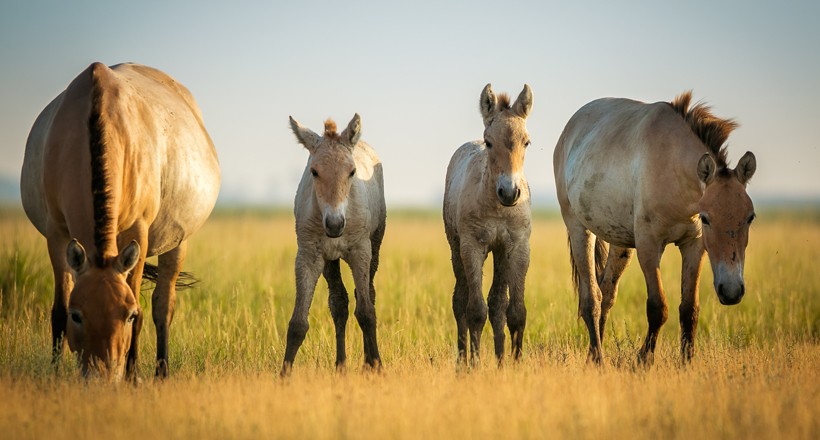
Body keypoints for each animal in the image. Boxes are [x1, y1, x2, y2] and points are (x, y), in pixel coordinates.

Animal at [21, 62, 221, 382]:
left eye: (127, 315)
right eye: (78, 315)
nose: (102, 376)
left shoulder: (137, 232)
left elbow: (143, 309)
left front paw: (132, 377)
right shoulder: (57, 234)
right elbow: (57, 310)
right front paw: (54, 374)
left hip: (178, 244)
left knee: (163, 307)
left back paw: (161, 373)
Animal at [280, 113, 386, 374]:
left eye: (352, 171)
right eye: (314, 171)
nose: (335, 224)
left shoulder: (360, 251)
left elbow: (366, 312)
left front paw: (377, 366)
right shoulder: (308, 255)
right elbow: (298, 322)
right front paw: (284, 375)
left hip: (375, 244)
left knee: (366, 294)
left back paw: (367, 363)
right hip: (330, 260)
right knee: (339, 302)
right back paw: (341, 366)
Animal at [446, 84, 536, 366]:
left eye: (526, 142)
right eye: (489, 142)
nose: (509, 192)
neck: (498, 208)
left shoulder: (517, 248)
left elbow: (515, 311)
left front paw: (515, 364)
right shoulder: (472, 247)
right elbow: (475, 310)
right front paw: (474, 365)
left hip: (499, 253)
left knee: (497, 304)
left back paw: (500, 359)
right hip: (456, 248)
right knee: (460, 301)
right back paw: (462, 362)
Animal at [552, 90, 756, 364]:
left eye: (750, 217)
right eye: (706, 218)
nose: (732, 291)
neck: (672, 167)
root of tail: (568, 131)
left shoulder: (693, 247)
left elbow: (689, 309)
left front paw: (687, 362)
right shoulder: (649, 247)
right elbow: (658, 308)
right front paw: (643, 360)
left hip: (620, 243)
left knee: (606, 293)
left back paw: (592, 356)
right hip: (579, 229)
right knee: (591, 299)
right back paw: (598, 359)